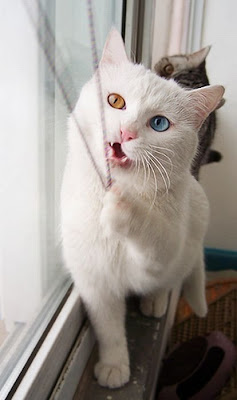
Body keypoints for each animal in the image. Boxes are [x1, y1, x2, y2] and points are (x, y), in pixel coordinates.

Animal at [60, 29, 224, 390]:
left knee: (169, 279)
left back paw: (155, 302)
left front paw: (123, 208)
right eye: (115, 101)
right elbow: (108, 327)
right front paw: (114, 366)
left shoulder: (159, 255)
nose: (125, 133)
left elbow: (153, 237)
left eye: (160, 124)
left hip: (187, 244)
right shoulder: (94, 279)